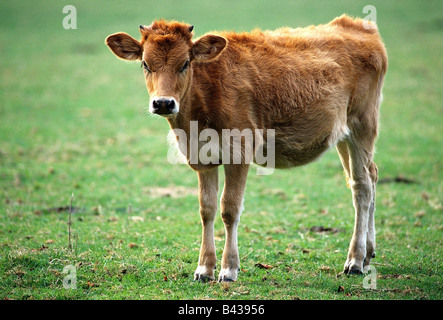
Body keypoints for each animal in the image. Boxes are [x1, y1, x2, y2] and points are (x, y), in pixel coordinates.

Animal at [106, 15, 386, 282]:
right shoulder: (201, 158)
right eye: (145, 64)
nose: (163, 103)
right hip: (343, 135)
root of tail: (359, 26)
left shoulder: (239, 152)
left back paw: (355, 261)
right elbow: (206, 209)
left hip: (363, 123)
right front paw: (204, 269)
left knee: (361, 186)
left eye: (185, 63)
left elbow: (229, 209)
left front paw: (228, 269)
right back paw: (368, 254)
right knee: (370, 176)